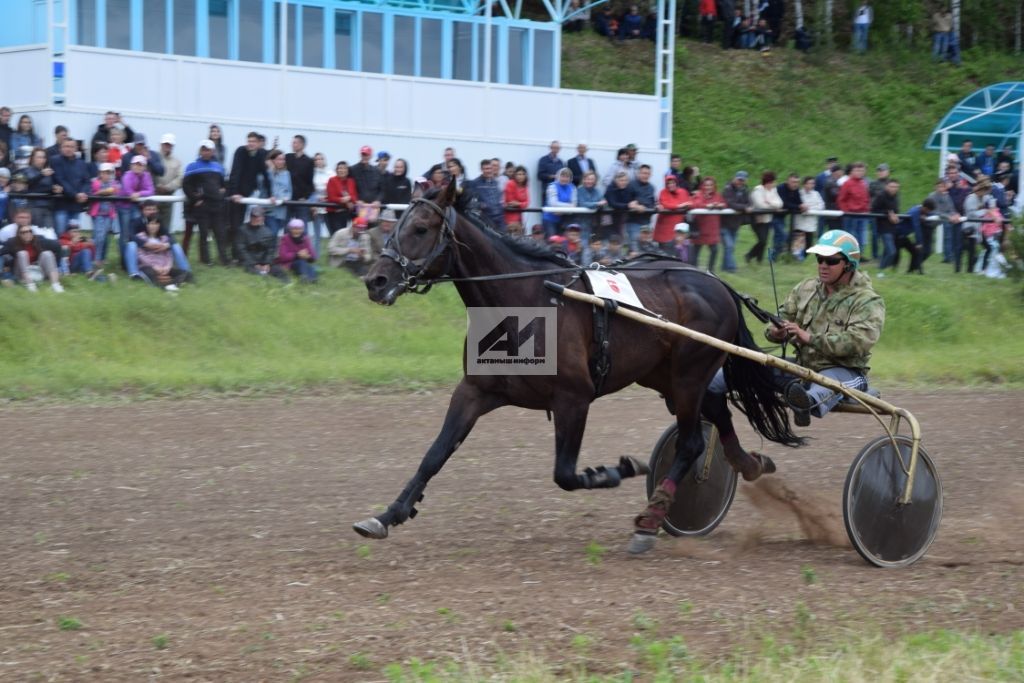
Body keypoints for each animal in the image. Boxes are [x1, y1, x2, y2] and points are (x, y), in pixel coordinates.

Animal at [360, 183, 798, 557]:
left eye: (420, 228)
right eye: (393, 225)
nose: (375, 280)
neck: (524, 304)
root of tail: (717, 282)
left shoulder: (574, 399)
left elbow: (566, 474)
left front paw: (619, 469)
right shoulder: (474, 391)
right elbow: (434, 454)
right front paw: (388, 514)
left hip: (688, 375)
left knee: (691, 443)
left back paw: (650, 520)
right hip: (665, 377)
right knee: (718, 414)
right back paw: (748, 465)